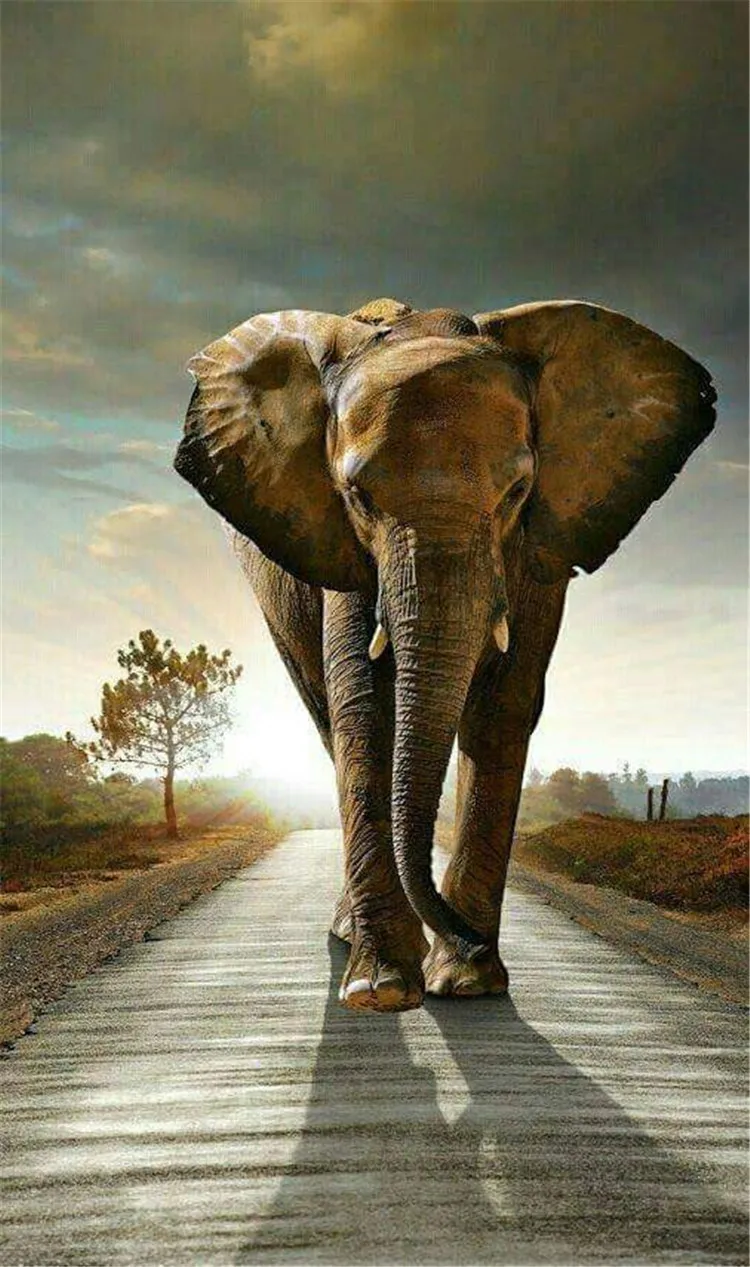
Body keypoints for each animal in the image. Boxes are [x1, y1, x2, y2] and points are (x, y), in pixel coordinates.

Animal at [174, 296, 715, 1013]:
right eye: (358, 497)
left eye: (517, 492)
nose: (468, 937)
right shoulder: (343, 550)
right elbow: (365, 708)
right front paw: (382, 990)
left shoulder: (538, 547)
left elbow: (503, 707)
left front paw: (467, 982)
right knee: (327, 718)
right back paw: (353, 939)